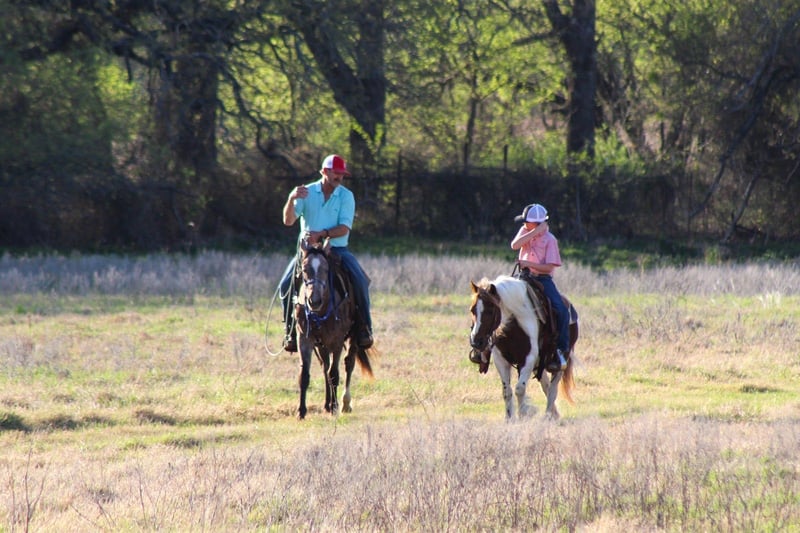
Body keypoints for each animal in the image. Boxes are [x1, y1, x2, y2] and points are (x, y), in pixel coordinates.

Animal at [292, 238, 374, 420]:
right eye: (305, 270)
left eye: (325, 269)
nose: (314, 301)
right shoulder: (304, 340)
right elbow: (305, 375)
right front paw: (301, 411)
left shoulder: (336, 341)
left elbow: (334, 375)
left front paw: (335, 407)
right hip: (322, 345)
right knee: (325, 366)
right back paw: (326, 404)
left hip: (353, 337)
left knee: (348, 364)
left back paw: (344, 403)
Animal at [469, 275, 578, 420]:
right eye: (472, 309)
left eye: (490, 310)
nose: (476, 342)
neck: (513, 325)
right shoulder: (501, 361)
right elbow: (507, 391)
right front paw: (509, 418)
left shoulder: (528, 359)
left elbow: (520, 389)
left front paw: (522, 416)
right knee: (546, 385)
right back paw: (554, 414)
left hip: (560, 362)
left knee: (553, 388)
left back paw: (548, 415)